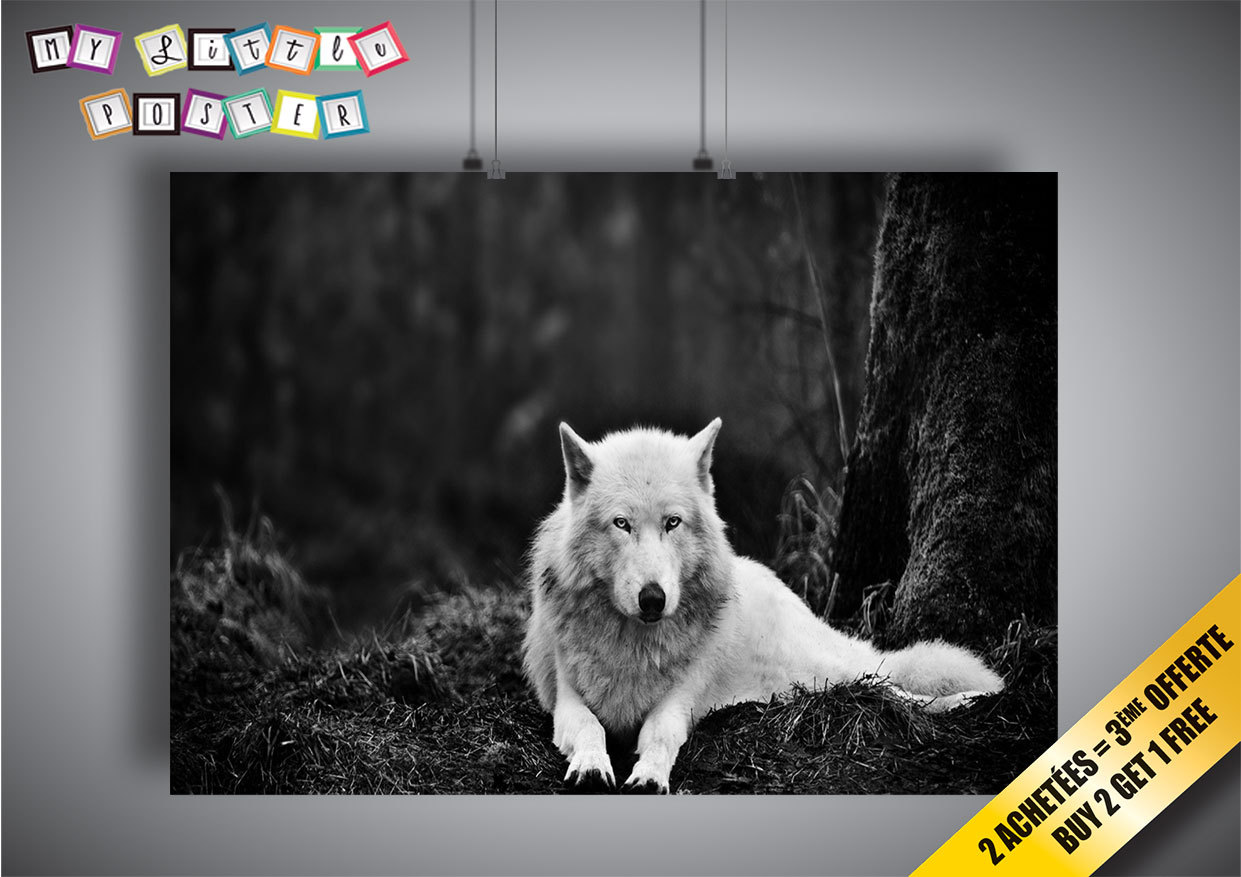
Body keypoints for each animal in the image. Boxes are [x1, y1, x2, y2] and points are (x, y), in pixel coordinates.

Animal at [522, 419, 1004, 793]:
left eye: (672, 523)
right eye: (621, 524)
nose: (653, 598)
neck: (634, 645)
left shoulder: (679, 701)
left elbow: (659, 735)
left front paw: (649, 776)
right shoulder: (566, 699)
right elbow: (590, 727)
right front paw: (591, 766)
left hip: (829, 673)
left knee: (893, 686)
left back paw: (976, 697)